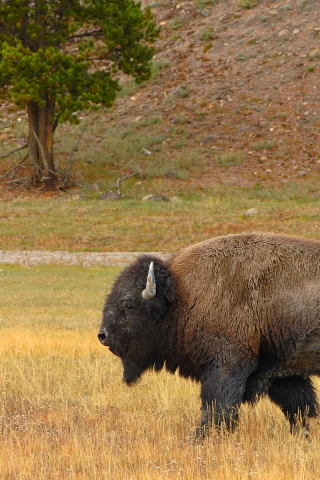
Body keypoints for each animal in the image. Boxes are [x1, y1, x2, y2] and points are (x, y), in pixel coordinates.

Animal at [97, 232, 320, 436]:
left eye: (128, 305)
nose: (103, 335)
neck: (181, 296)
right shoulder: (279, 370)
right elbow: (298, 406)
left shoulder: (226, 366)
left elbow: (217, 407)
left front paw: (200, 437)